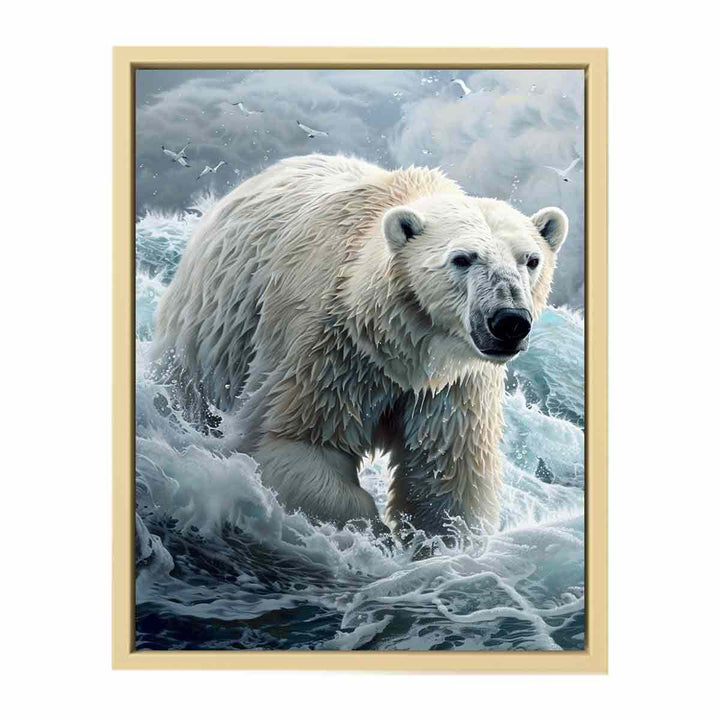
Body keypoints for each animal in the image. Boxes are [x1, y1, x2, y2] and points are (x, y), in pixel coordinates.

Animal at [152, 154, 568, 539]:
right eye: (462, 258)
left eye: (531, 260)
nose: (509, 321)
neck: (401, 344)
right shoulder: (328, 349)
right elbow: (295, 443)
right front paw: (375, 535)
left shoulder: (453, 385)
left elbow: (446, 478)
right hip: (210, 333)